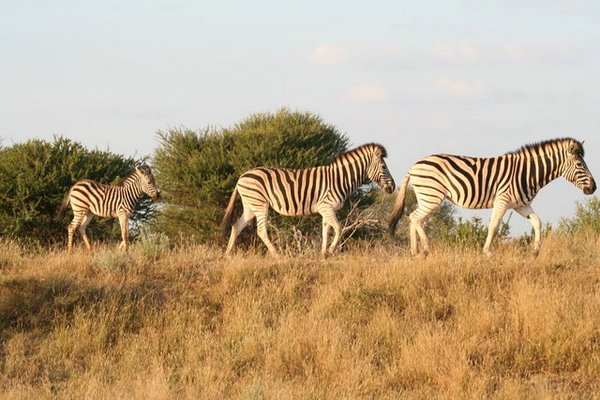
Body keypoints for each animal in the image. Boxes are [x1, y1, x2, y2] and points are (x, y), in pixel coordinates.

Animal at [223, 143, 396, 256]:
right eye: (384, 167)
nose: (393, 187)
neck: (339, 179)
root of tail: (242, 176)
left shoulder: (326, 209)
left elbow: (326, 231)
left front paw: (323, 253)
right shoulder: (326, 206)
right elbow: (339, 229)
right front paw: (331, 251)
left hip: (250, 205)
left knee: (236, 226)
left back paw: (228, 254)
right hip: (259, 204)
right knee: (260, 231)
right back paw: (277, 255)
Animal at [390, 138, 596, 256]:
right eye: (580, 165)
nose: (594, 188)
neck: (527, 173)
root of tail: (415, 165)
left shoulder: (520, 205)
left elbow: (537, 222)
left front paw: (535, 251)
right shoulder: (503, 200)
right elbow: (494, 225)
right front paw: (488, 253)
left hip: (426, 196)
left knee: (413, 218)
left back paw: (415, 252)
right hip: (431, 195)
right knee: (415, 217)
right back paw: (424, 248)